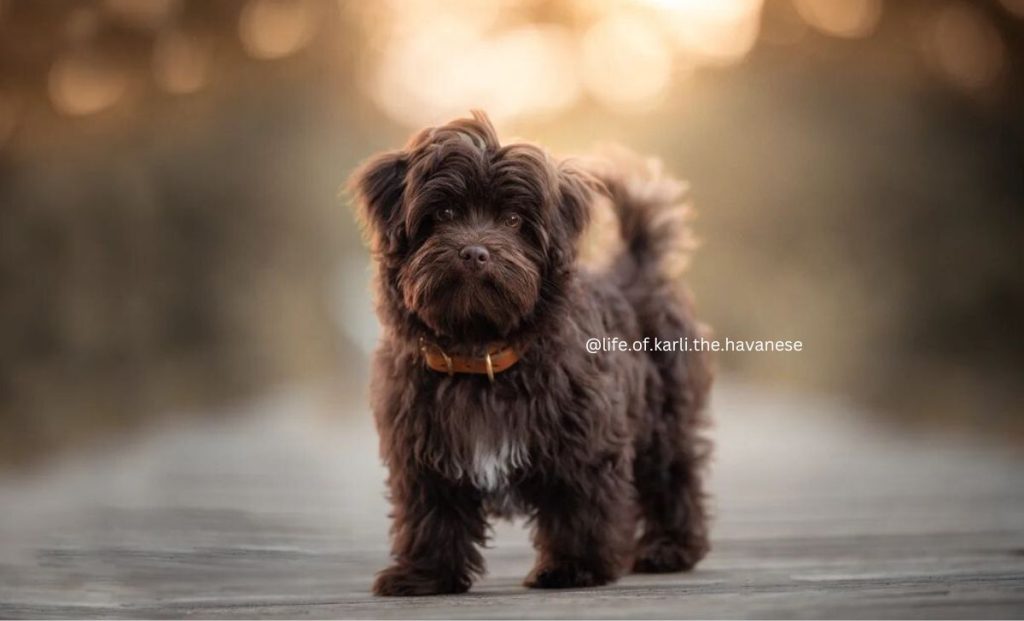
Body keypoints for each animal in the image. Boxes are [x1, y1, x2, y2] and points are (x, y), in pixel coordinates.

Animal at [352, 111, 712, 598]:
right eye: (444, 213)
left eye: (512, 219)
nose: (474, 252)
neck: (478, 351)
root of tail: (635, 268)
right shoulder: (422, 446)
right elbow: (432, 509)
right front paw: (425, 574)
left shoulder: (584, 437)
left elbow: (579, 501)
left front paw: (573, 567)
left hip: (664, 413)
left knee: (673, 476)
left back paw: (670, 548)